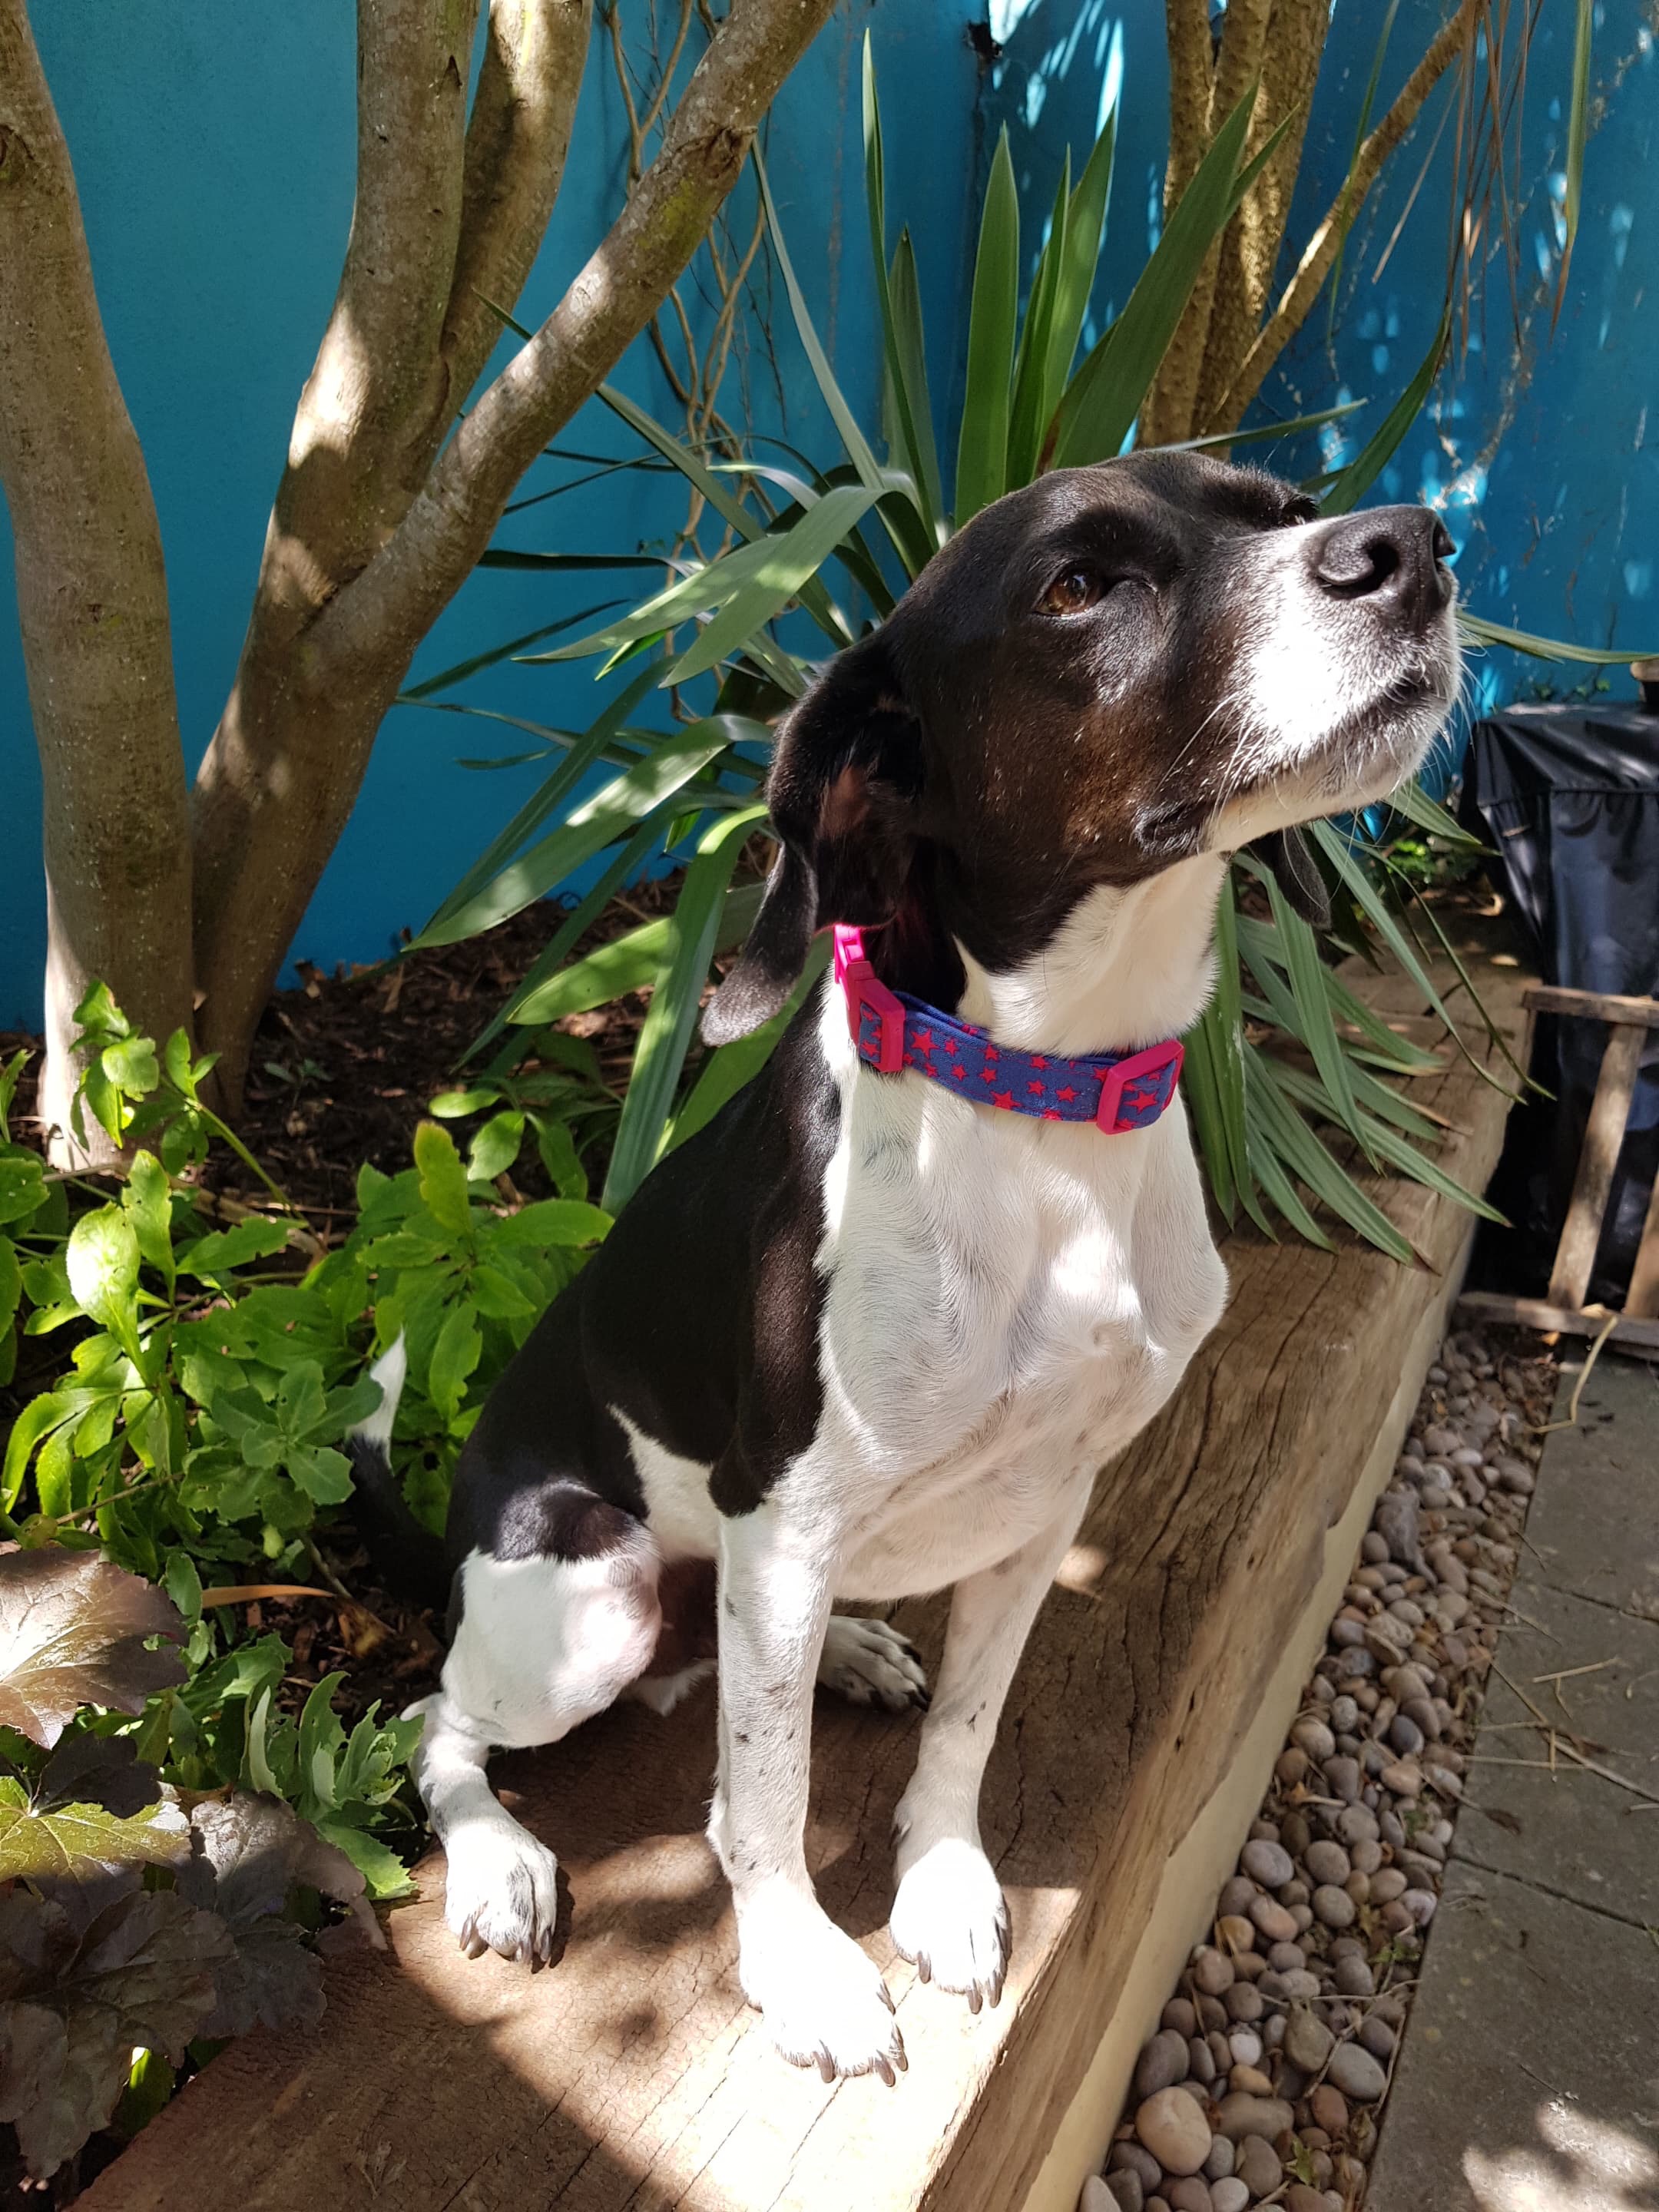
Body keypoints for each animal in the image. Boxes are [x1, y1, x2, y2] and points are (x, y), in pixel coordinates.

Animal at [351, 450, 1458, 2084]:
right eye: (1080, 585)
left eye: (1282, 502)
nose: (1415, 547)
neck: (1044, 1105)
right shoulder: (788, 1517)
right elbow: (761, 1801)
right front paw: (803, 1967)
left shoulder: (1045, 1502)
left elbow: (970, 1733)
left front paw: (941, 1885)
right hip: (588, 1594)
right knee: (438, 1722)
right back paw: (500, 1858)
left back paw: (861, 1653)